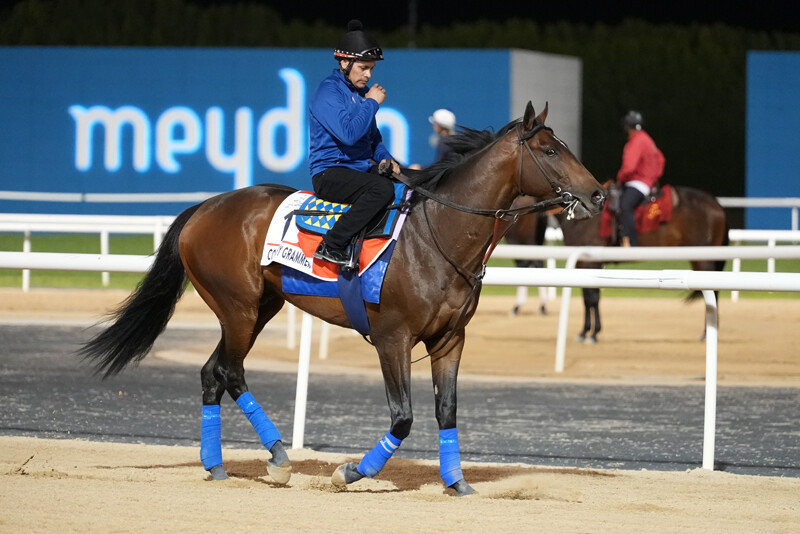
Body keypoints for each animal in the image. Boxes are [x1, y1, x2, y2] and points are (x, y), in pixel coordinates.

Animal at [81, 103, 608, 498]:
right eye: (550, 150)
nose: (598, 194)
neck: (436, 235)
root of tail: (204, 208)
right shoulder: (393, 339)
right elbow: (403, 418)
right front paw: (351, 472)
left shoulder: (449, 340)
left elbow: (447, 412)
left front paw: (457, 482)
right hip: (238, 307)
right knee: (230, 372)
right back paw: (278, 457)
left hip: (260, 309)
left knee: (213, 373)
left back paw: (216, 466)